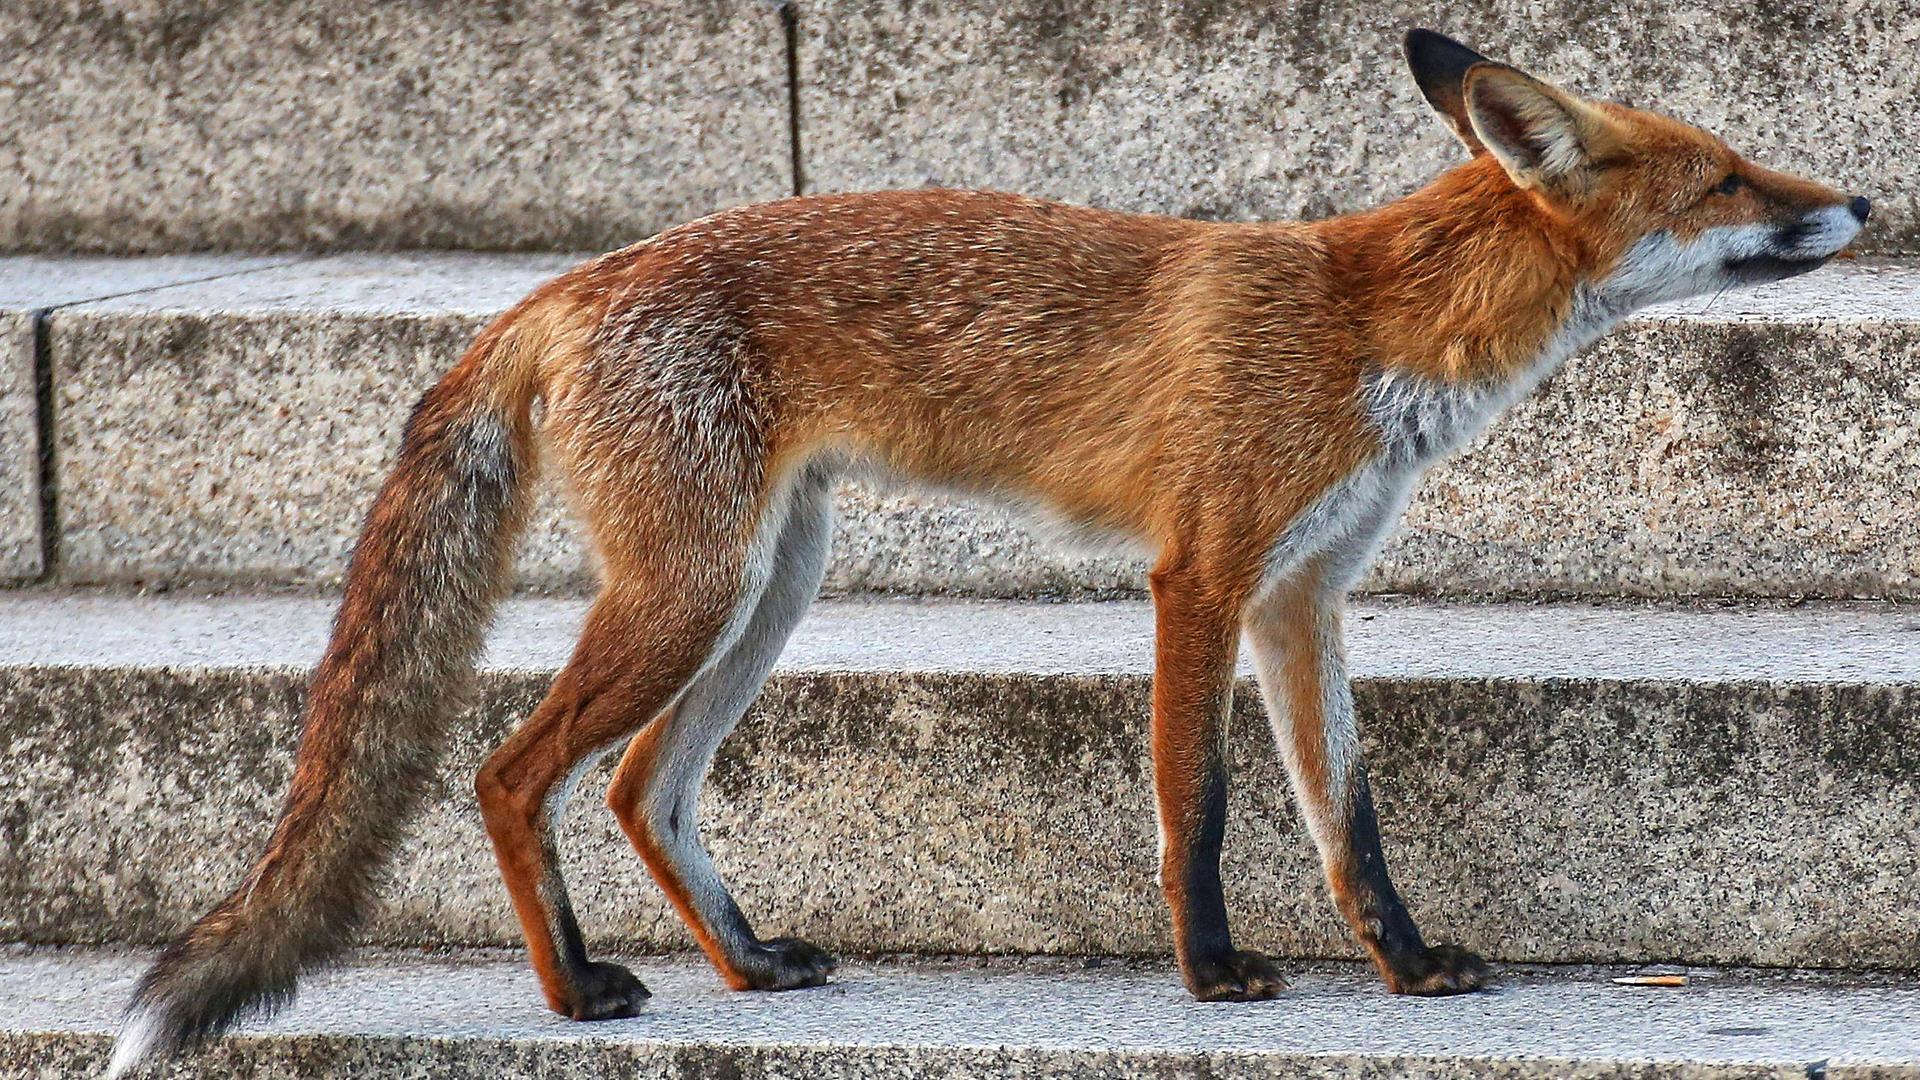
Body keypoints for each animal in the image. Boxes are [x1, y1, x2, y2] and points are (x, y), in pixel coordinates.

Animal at [107, 28, 1869, 1075]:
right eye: (1727, 176)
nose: (1858, 201)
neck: (1367, 326)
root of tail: (570, 283)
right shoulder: (1202, 575)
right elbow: (1195, 805)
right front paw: (1212, 975)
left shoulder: (1307, 596)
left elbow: (1347, 821)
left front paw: (1410, 965)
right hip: (692, 595)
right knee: (506, 771)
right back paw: (578, 995)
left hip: (768, 589)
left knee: (640, 788)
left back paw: (747, 966)